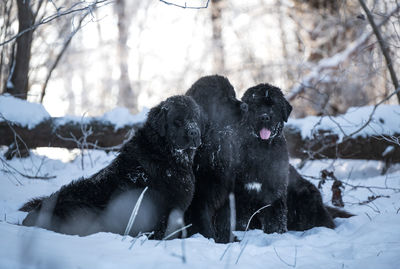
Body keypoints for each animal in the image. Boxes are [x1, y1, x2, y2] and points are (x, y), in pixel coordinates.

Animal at [184, 74, 247, 242]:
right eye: (223, 98)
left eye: (233, 94)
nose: (245, 106)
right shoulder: (200, 198)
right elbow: (203, 222)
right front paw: (209, 240)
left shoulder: (225, 193)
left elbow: (224, 221)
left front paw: (227, 240)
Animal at [236, 83, 292, 232]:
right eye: (256, 105)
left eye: (273, 106)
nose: (265, 117)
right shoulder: (241, 194)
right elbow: (242, 221)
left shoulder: (275, 192)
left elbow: (275, 220)